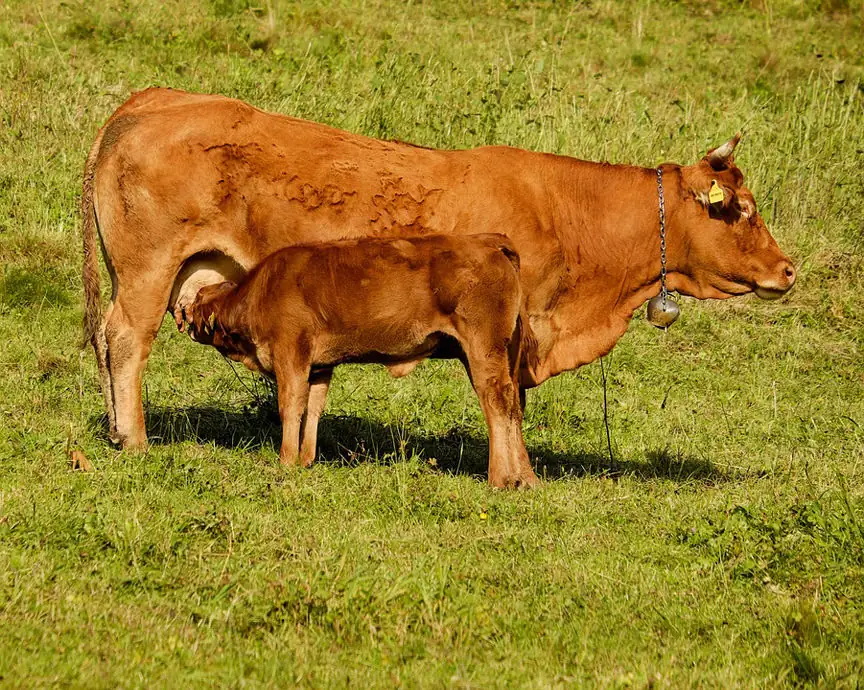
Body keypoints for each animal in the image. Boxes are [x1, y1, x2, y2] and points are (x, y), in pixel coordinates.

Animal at [81, 88, 796, 456]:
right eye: (738, 209)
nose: (788, 270)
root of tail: (156, 98)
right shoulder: (506, 330)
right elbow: (503, 399)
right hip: (147, 271)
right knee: (125, 341)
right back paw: (132, 439)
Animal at [180, 233, 539, 488]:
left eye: (197, 301)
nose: (183, 317)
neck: (260, 292)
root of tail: (486, 241)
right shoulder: (320, 366)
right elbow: (313, 408)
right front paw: (306, 458)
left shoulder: (290, 354)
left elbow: (290, 406)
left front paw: (286, 460)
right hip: (496, 353)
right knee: (513, 406)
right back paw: (526, 479)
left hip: (482, 348)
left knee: (497, 402)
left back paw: (500, 478)